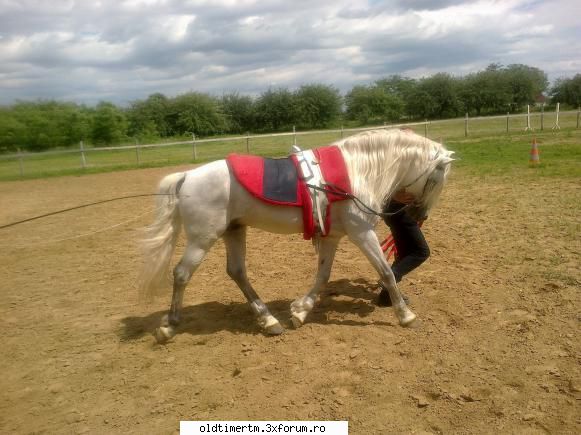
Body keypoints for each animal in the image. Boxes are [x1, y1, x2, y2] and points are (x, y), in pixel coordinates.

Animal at [139, 129, 454, 344]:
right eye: (438, 178)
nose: (419, 215)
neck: (355, 173)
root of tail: (187, 177)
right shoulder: (362, 233)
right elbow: (387, 273)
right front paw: (405, 316)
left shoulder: (332, 237)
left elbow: (323, 276)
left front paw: (300, 311)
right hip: (202, 239)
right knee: (182, 274)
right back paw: (169, 325)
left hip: (233, 231)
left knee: (237, 272)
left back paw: (268, 320)